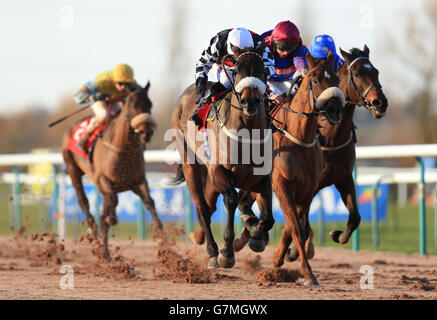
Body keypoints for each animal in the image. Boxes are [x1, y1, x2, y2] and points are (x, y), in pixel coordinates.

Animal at [61, 84, 162, 262]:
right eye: (133, 104)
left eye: (150, 104)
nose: (146, 132)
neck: (122, 149)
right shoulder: (103, 179)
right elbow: (110, 208)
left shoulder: (138, 181)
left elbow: (150, 203)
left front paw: (165, 245)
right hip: (72, 169)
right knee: (83, 201)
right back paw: (94, 233)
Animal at [170, 51, 272, 268]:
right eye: (237, 70)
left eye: (263, 71)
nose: (250, 102)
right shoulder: (219, 171)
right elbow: (232, 199)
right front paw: (227, 252)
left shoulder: (263, 178)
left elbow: (267, 219)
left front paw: (255, 235)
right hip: (190, 164)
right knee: (202, 208)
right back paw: (212, 252)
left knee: (209, 206)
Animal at [235, 51, 344, 286]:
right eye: (315, 80)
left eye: (337, 81)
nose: (335, 110)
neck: (298, 137)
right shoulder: (281, 184)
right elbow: (294, 227)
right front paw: (308, 273)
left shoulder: (308, 190)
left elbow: (295, 227)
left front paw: (282, 259)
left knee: (246, 204)